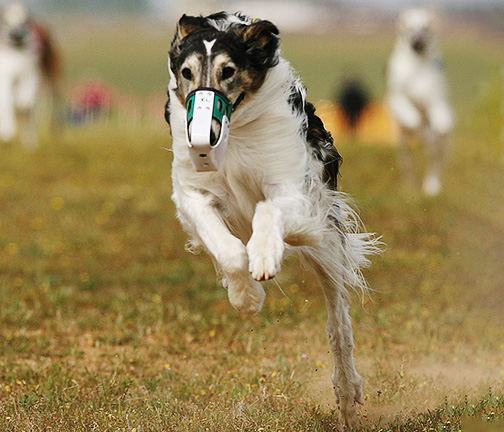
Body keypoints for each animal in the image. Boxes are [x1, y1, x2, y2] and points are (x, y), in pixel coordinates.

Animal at [164, 11, 378, 426]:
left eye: (229, 70)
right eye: (186, 71)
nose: (203, 136)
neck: (235, 136)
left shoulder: (294, 189)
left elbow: (268, 208)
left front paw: (264, 255)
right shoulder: (192, 194)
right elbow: (228, 250)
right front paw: (247, 296)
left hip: (327, 246)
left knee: (338, 324)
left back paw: (347, 394)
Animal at [388, 7, 454, 197]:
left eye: (425, 28)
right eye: (409, 28)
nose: (416, 41)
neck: (417, 67)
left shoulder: (435, 98)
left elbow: (441, 111)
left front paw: (442, 122)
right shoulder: (396, 96)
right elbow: (405, 107)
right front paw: (413, 120)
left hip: (434, 145)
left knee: (434, 164)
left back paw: (432, 188)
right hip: (403, 146)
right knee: (409, 167)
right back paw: (410, 187)